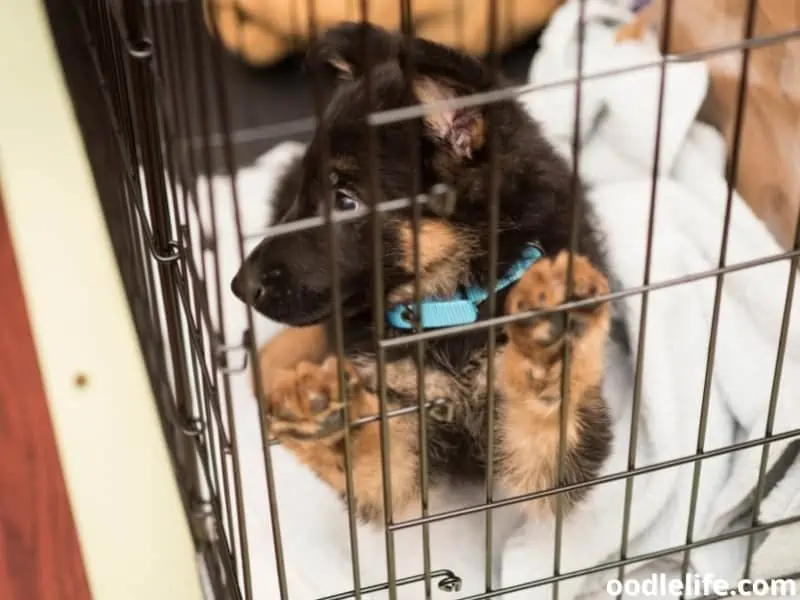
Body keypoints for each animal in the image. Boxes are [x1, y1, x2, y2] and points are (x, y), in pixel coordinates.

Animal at [230, 21, 620, 596]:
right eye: (308, 191)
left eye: (345, 201)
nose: (240, 285)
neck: (449, 305)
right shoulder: (396, 427)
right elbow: (372, 457)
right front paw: (318, 412)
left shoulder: (556, 469)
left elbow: (549, 422)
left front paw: (546, 339)